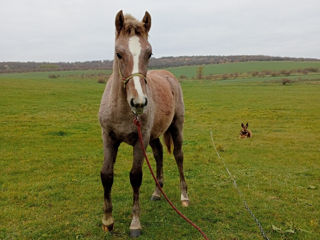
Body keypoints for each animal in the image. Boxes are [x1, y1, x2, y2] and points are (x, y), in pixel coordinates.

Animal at [99, 10, 189, 237]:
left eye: (149, 53)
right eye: (118, 53)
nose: (138, 102)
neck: (123, 111)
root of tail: (169, 76)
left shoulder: (140, 141)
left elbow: (135, 176)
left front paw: (135, 223)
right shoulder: (108, 138)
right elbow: (106, 175)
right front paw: (108, 220)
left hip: (176, 127)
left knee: (178, 156)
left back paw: (184, 196)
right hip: (154, 135)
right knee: (158, 155)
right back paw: (158, 192)